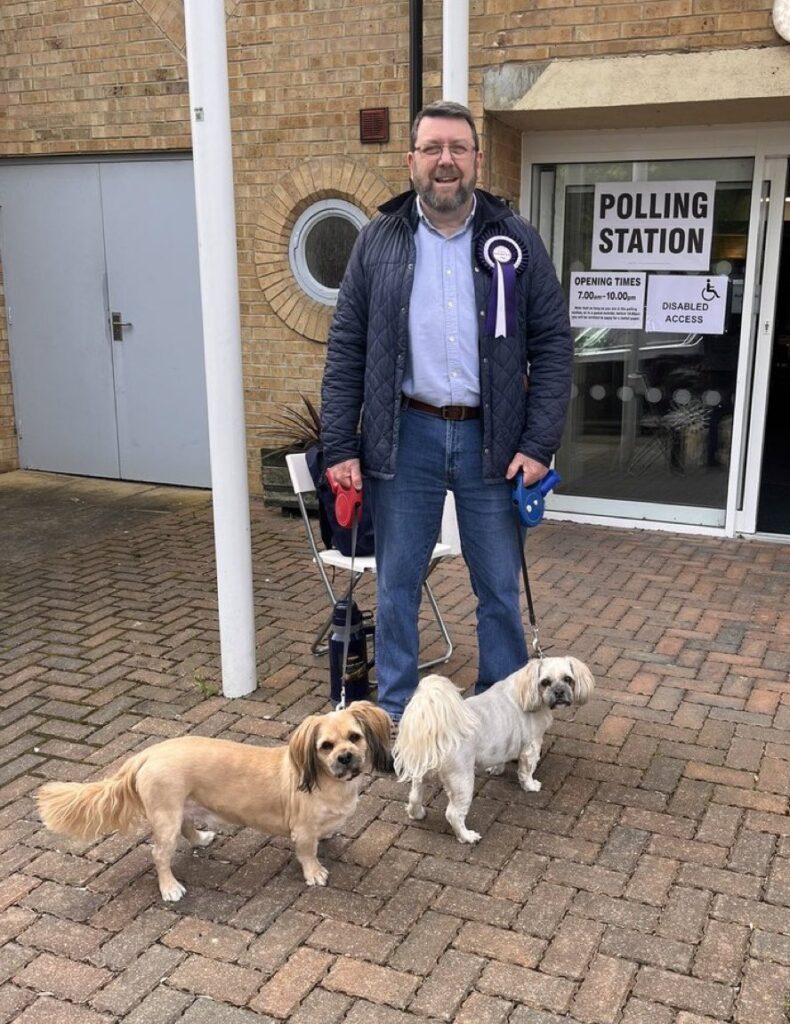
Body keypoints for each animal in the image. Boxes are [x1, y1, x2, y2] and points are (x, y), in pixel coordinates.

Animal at [38, 700, 391, 901]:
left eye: (355, 738)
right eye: (325, 746)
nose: (346, 757)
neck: (328, 781)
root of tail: (146, 754)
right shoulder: (302, 831)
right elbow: (308, 853)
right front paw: (314, 872)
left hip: (180, 808)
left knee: (186, 829)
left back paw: (201, 838)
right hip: (165, 818)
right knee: (159, 855)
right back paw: (169, 888)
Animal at [393, 659, 594, 843]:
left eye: (568, 679)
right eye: (545, 682)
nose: (559, 692)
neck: (525, 689)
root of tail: (438, 732)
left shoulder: (502, 743)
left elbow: (500, 759)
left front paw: (496, 769)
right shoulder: (531, 747)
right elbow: (526, 771)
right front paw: (530, 786)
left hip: (422, 773)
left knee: (414, 796)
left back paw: (417, 813)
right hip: (462, 780)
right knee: (453, 814)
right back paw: (467, 837)